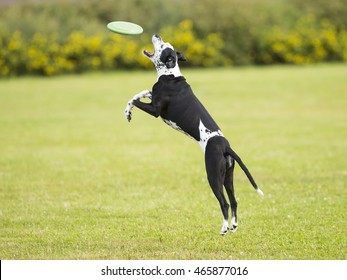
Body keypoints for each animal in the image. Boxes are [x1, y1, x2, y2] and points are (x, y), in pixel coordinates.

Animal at [125, 35, 264, 236]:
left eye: (163, 45)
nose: (157, 35)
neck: (170, 73)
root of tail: (225, 145)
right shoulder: (152, 96)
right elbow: (142, 92)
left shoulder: (155, 110)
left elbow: (134, 101)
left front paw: (127, 112)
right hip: (228, 178)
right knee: (234, 201)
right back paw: (233, 226)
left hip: (213, 177)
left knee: (224, 203)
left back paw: (223, 228)